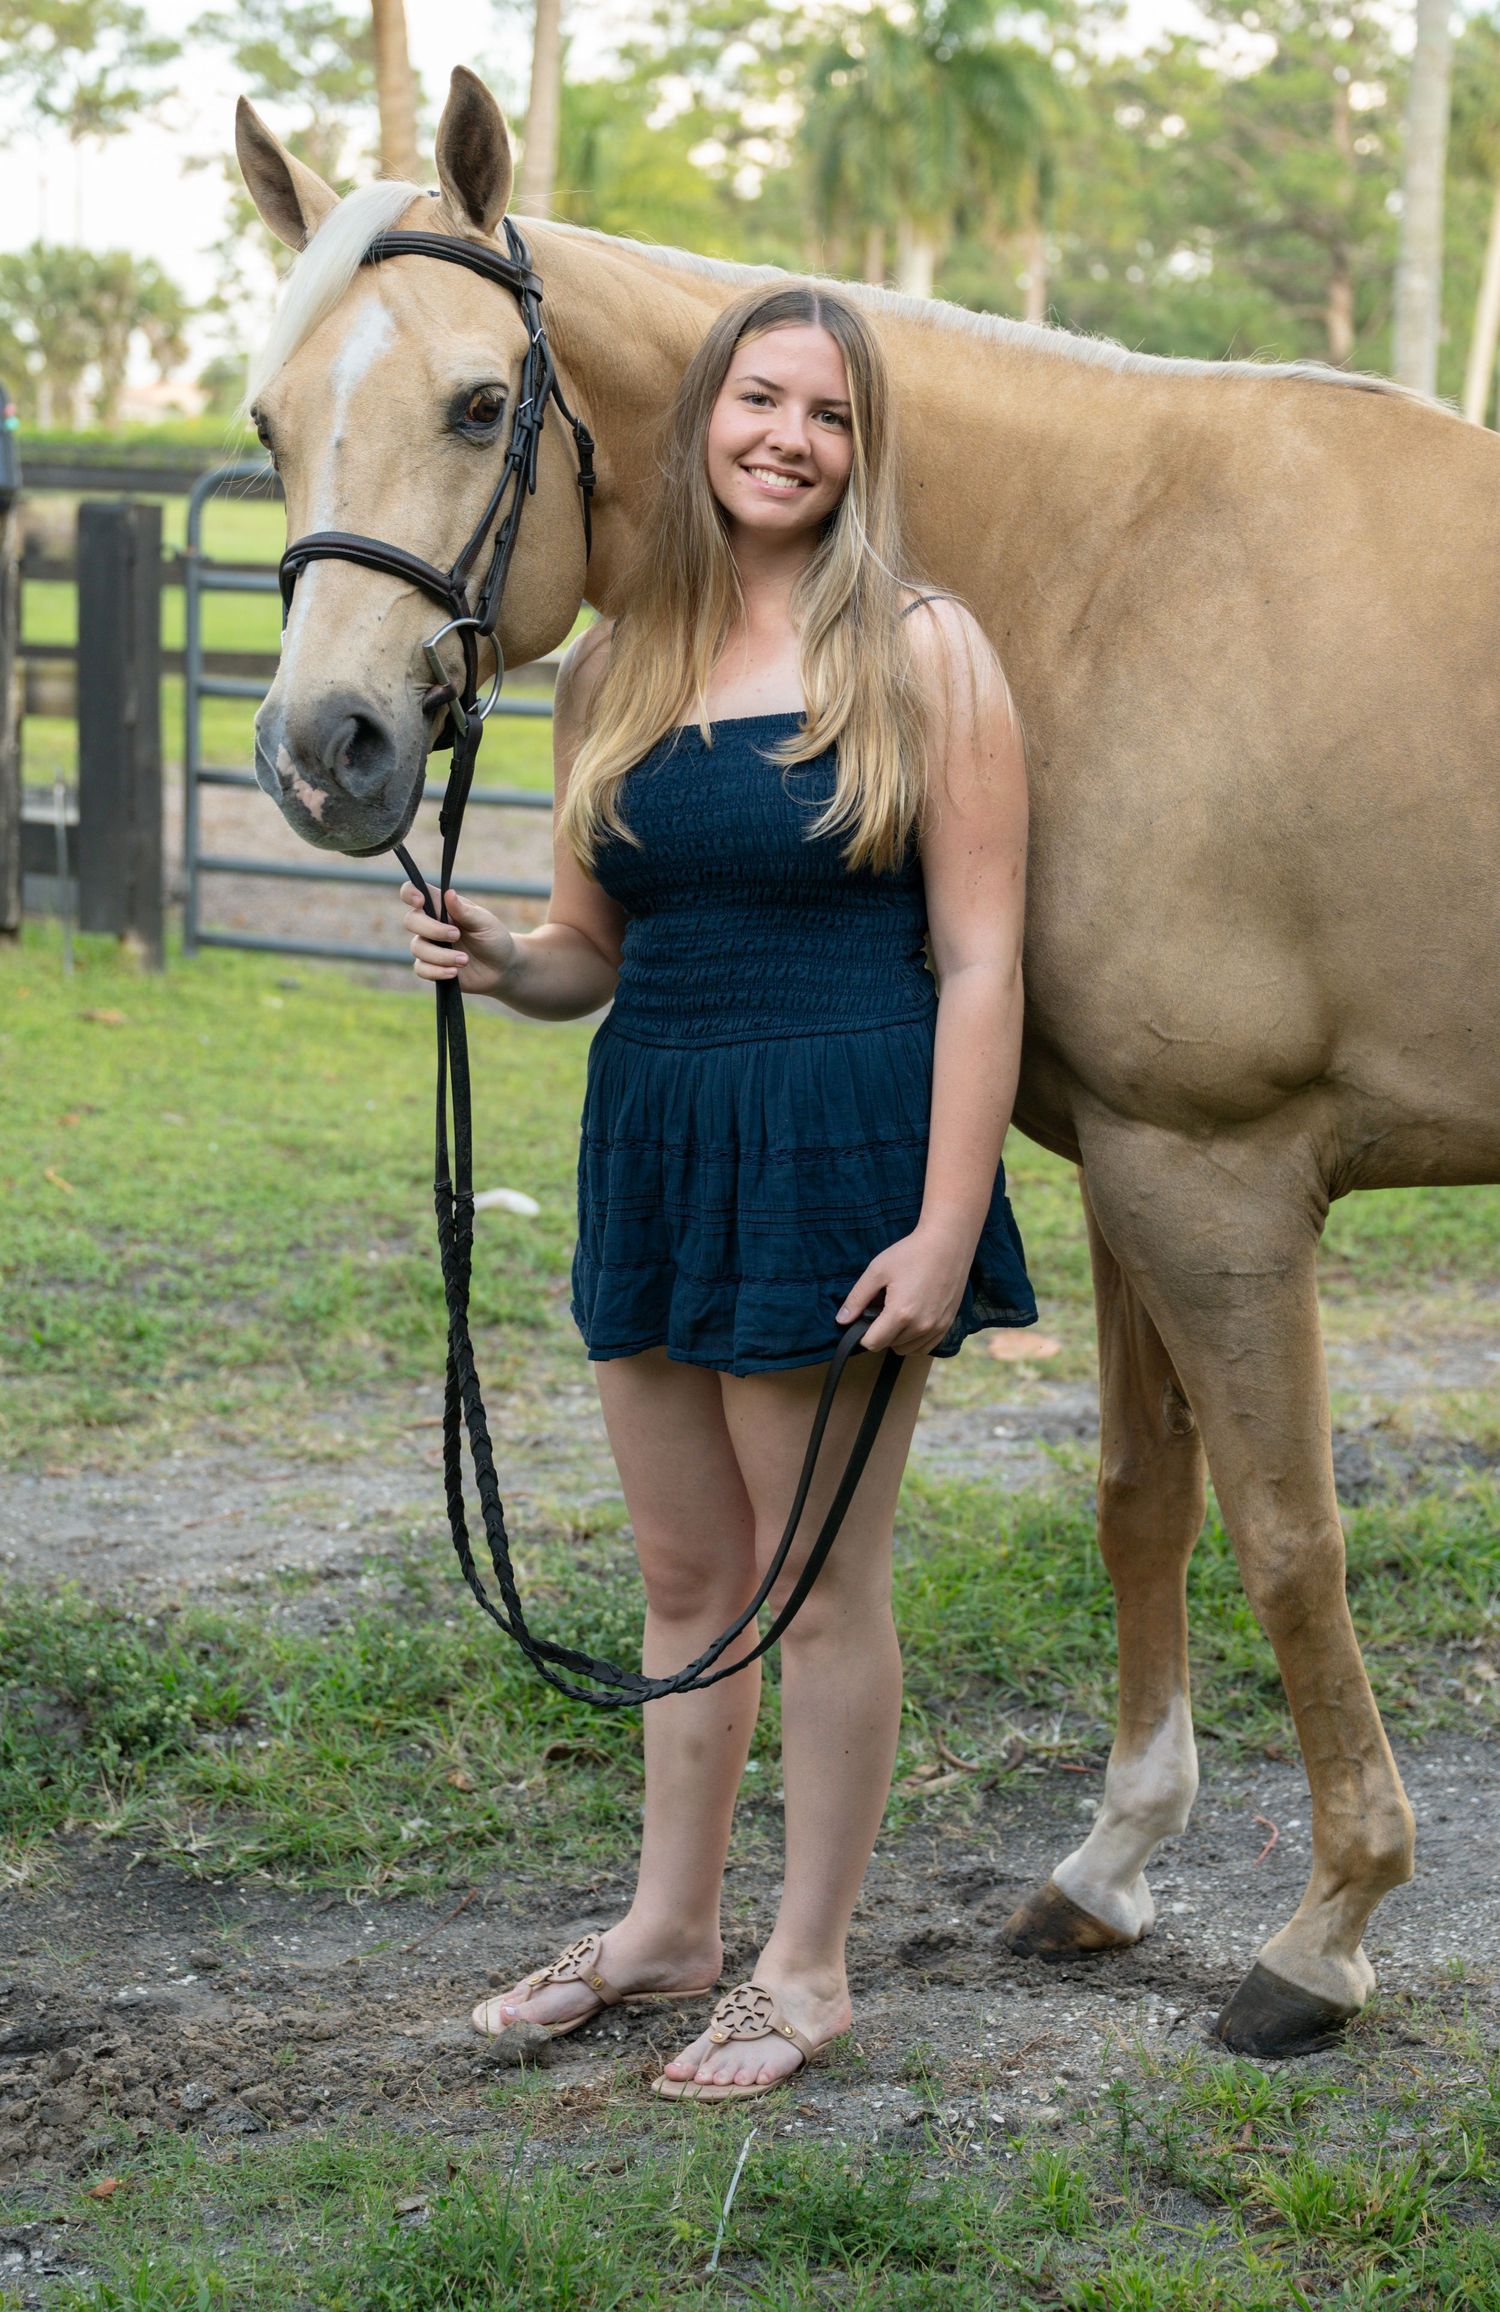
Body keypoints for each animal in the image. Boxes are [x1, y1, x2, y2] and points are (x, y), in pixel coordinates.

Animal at [235, 65, 1500, 2059]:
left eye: (481, 401)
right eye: (268, 421)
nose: (322, 751)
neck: (1116, 575)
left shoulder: (1218, 1175)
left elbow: (1292, 1532)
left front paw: (1328, 1927)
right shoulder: (1134, 1166)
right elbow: (1144, 1499)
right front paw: (1110, 1865)